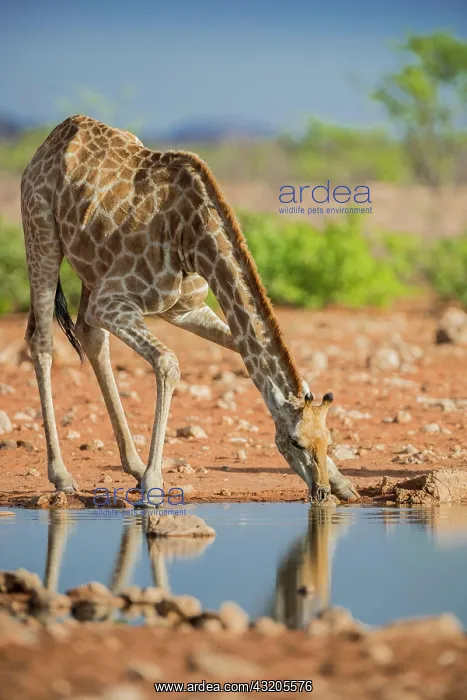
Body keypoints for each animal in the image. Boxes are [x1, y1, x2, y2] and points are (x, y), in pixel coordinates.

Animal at [21, 115, 359, 504]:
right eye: (295, 442)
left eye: (328, 440)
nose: (320, 492)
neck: (194, 239)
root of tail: (51, 140)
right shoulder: (113, 300)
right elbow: (168, 363)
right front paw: (153, 483)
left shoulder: (183, 309)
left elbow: (239, 348)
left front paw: (343, 482)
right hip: (41, 234)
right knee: (42, 341)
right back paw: (63, 476)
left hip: (92, 270)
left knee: (89, 337)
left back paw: (132, 465)